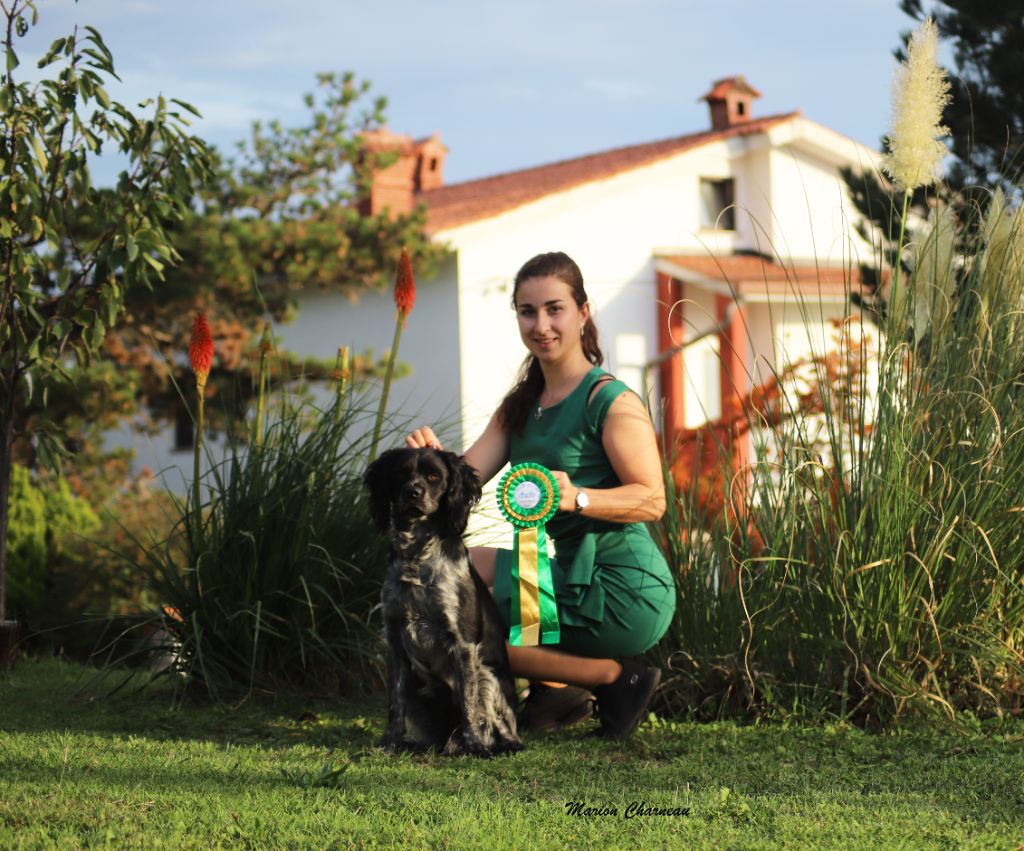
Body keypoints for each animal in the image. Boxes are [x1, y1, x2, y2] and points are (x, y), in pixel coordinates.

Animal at [364, 447, 523, 757]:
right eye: (401, 473)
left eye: (434, 476)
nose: (413, 492)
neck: (416, 556)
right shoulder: (395, 641)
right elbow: (394, 704)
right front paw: (390, 743)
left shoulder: (462, 644)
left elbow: (469, 705)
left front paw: (476, 746)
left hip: (488, 678)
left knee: (507, 733)